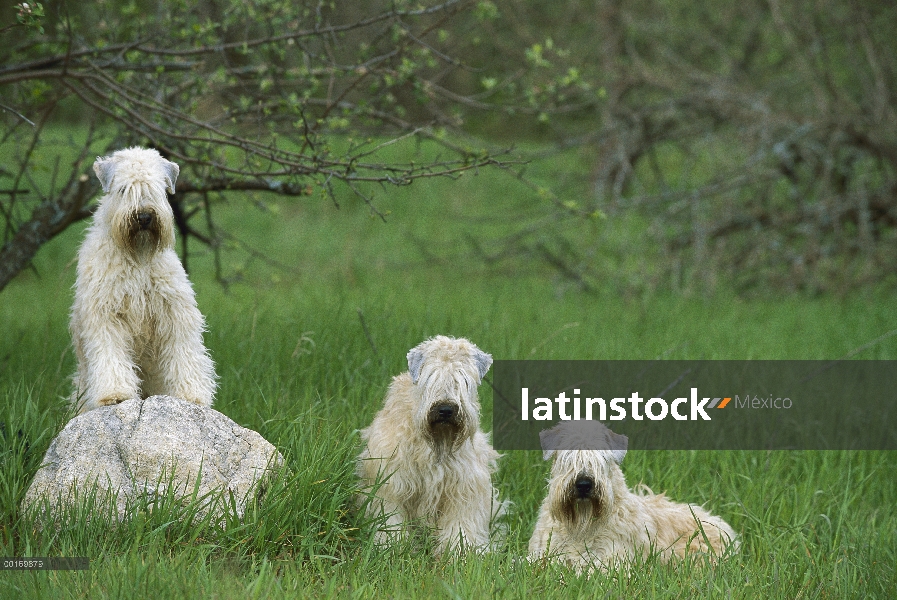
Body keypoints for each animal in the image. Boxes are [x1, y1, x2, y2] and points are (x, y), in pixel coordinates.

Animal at [70, 148, 217, 414]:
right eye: (123, 189)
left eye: (158, 189)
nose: (144, 216)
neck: (138, 258)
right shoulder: (106, 315)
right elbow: (110, 356)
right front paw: (115, 394)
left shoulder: (175, 312)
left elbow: (184, 354)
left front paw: (191, 395)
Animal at [358, 336, 512, 556]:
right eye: (430, 377)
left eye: (463, 379)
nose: (446, 409)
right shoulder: (391, 484)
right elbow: (390, 520)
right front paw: (392, 548)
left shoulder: (463, 489)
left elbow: (460, 526)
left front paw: (460, 554)